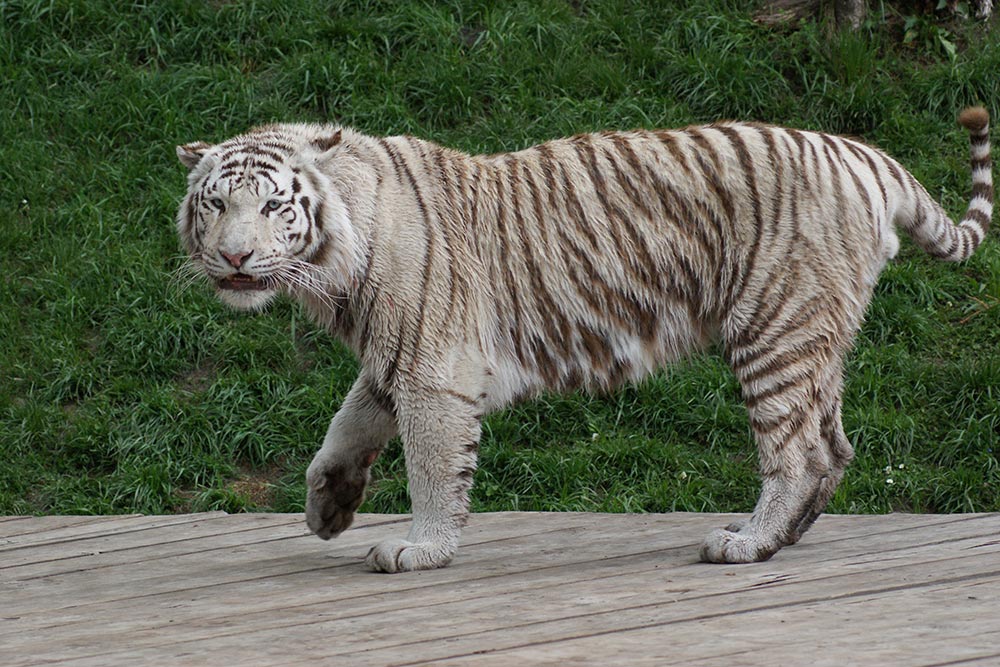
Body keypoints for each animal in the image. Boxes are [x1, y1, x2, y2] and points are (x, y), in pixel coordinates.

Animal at [178, 107, 992, 572]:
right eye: (215, 204)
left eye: (273, 206)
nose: (235, 258)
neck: (333, 267)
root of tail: (867, 156)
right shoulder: (393, 357)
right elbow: (342, 431)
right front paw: (327, 509)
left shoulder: (433, 367)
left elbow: (432, 468)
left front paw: (421, 548)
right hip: (814, 334)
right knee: (836, 446)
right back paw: (781, 537)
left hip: (775, 329)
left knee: (799, 453)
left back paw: (747, 543)